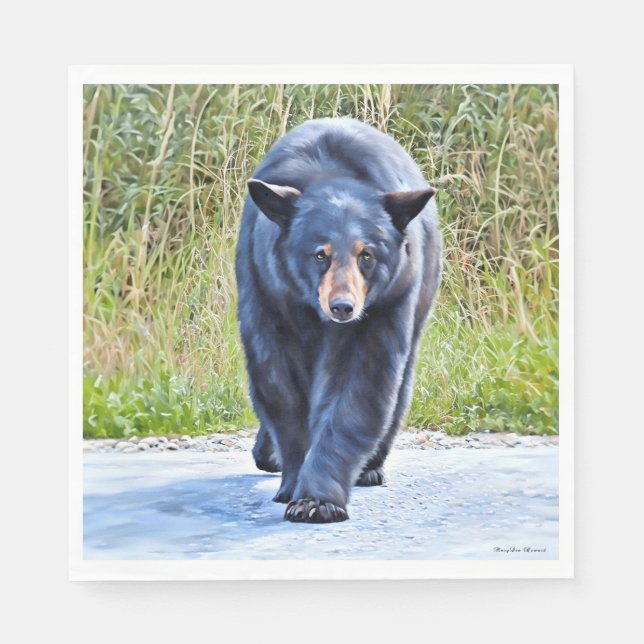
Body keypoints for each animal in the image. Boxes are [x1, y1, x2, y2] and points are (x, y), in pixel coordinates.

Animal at [235, 118, 441, 523]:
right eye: (320, 254)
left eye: (367, 255)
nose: (343, 307)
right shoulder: (267, 290)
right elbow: (279, 387)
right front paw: (292, 482)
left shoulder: (385, 303)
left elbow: (360, 386)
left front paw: (317, 500)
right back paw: (267, 456)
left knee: (400, 383)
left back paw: (370, 468)